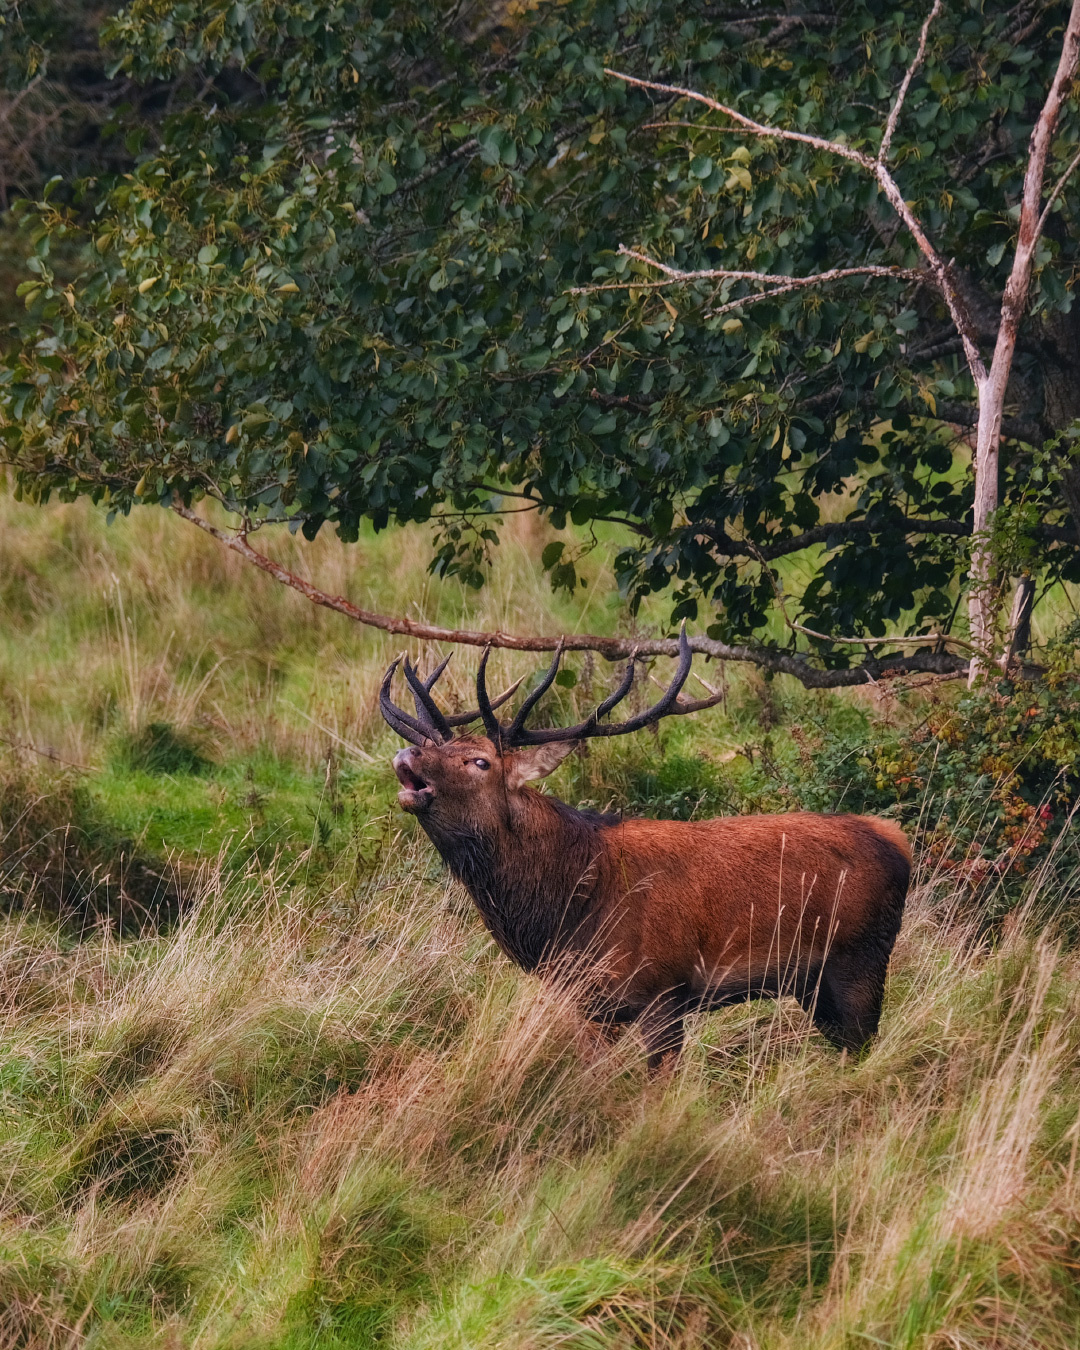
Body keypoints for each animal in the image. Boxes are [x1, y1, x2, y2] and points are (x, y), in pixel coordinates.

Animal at [380, 630, 910, 1069]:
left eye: (479, 761)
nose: (407, 753)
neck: (568, 911)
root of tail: (897, 839)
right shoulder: (590, 1006)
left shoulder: (663, 987)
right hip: (815, 984)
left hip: (861, 959)